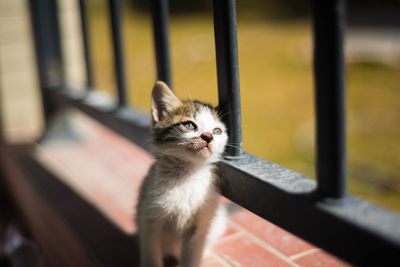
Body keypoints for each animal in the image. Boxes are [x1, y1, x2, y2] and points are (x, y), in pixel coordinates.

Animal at [136, 81, 227, 267]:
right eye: (189, 125)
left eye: (217, 131)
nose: (208, 137)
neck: (186, 175)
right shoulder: (148, 217)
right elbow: (151, 252)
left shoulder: (200, 226)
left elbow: (192, 255)